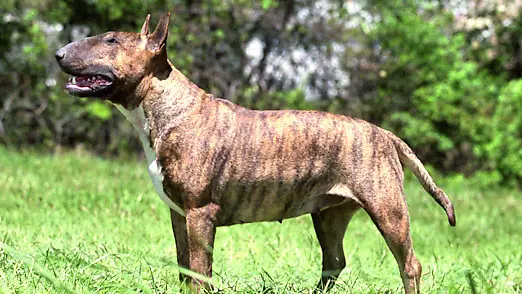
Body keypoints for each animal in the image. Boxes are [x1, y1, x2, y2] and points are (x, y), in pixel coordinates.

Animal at [54, 13, 452, 292]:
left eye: (111, 40)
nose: (58, 53)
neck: (168, 108)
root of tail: (385, 134)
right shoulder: (179, 214)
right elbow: (184, 269)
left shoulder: (200, 214)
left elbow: (199, 274)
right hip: (329, 213)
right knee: (334, 261)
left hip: (387, 208)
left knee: (408, 264)